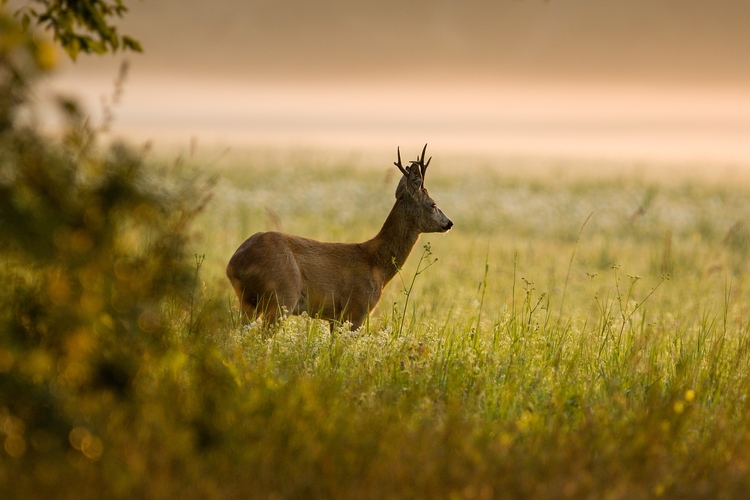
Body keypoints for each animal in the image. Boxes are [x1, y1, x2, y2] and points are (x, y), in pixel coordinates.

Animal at [226, 145, 456, 330]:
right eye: (433, 204)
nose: (449, 223)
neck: (377, 264)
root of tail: (234, 263)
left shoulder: (335, 318)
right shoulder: (356, 309)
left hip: (248, 301)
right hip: (282, 295)